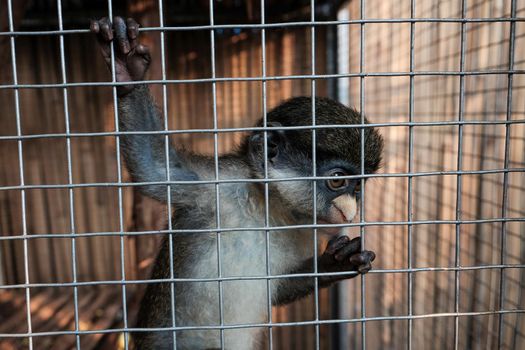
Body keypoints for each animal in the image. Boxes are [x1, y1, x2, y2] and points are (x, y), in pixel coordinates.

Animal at [92, 17, 382, 350]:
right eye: (338, 181)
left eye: (358, 188)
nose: (351, 209)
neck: (268, 209)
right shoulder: (217, 186)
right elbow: (154, 167)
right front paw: (126, 71)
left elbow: (279, 287)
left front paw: (334, 264)